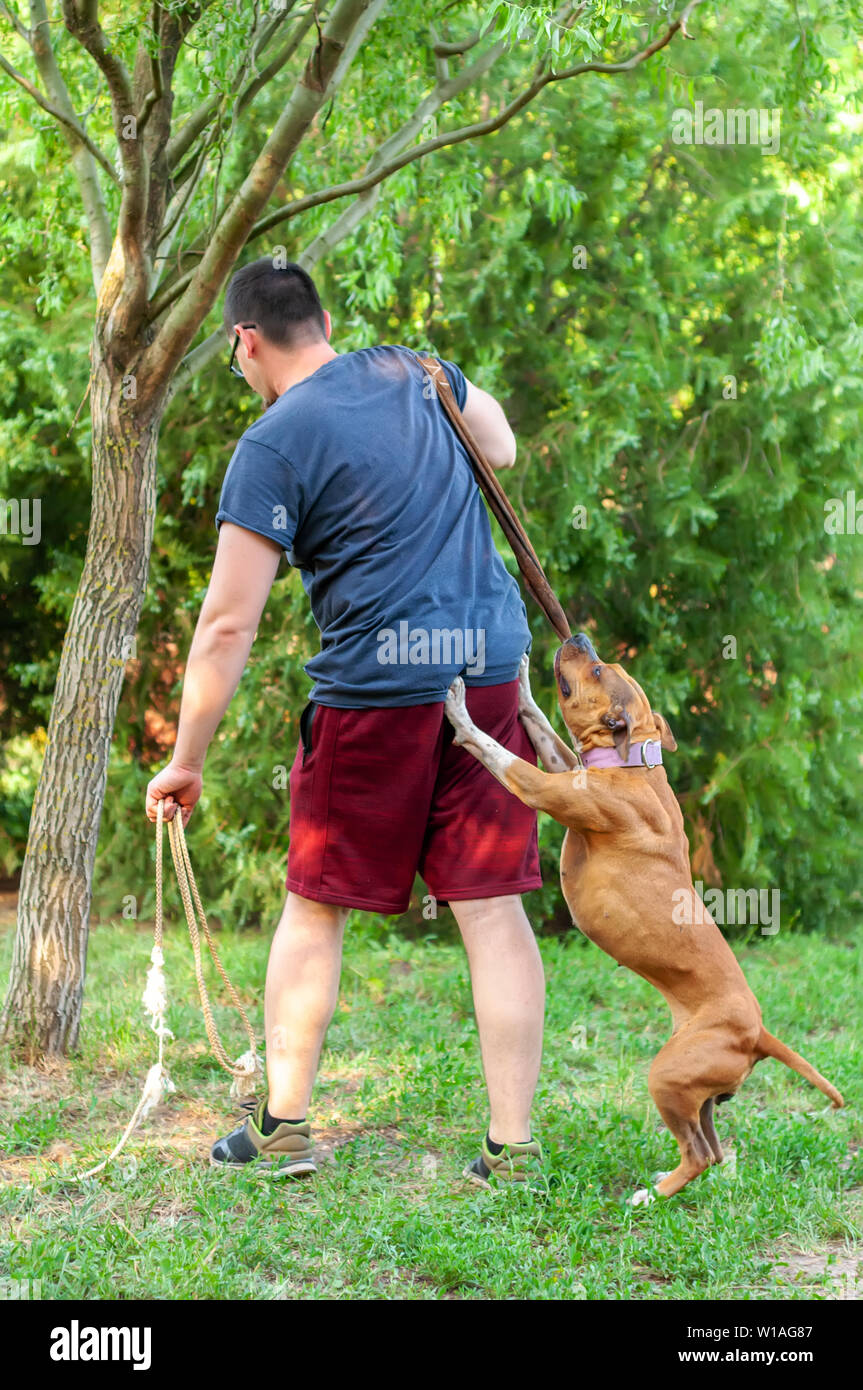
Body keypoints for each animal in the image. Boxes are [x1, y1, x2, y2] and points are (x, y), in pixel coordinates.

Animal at [444, 636, 839, 1200]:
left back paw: (648, 1198)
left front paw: (460, 713)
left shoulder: (540, 785)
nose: (578, 638)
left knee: (699, 1154)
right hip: (696, 1091)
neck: (634, 762)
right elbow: (540, 721)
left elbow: (496, 751)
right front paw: (519, 681)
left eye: (597, 670)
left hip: (668, 1076)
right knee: (713, 1148)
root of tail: (759, 1033)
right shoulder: (562, 763)